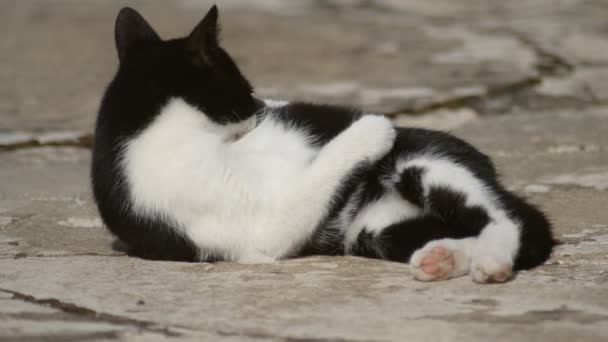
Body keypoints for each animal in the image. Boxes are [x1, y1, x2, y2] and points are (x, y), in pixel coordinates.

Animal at [91, 6, 556, 284]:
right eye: (245, 89)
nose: (261, 106)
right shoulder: (266, 230)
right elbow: (314, 180)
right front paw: (372, 125)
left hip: (423, 163)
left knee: (507, 217)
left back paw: (483, 256)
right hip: (374, 229)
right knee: (504, 224)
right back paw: (449, 259)